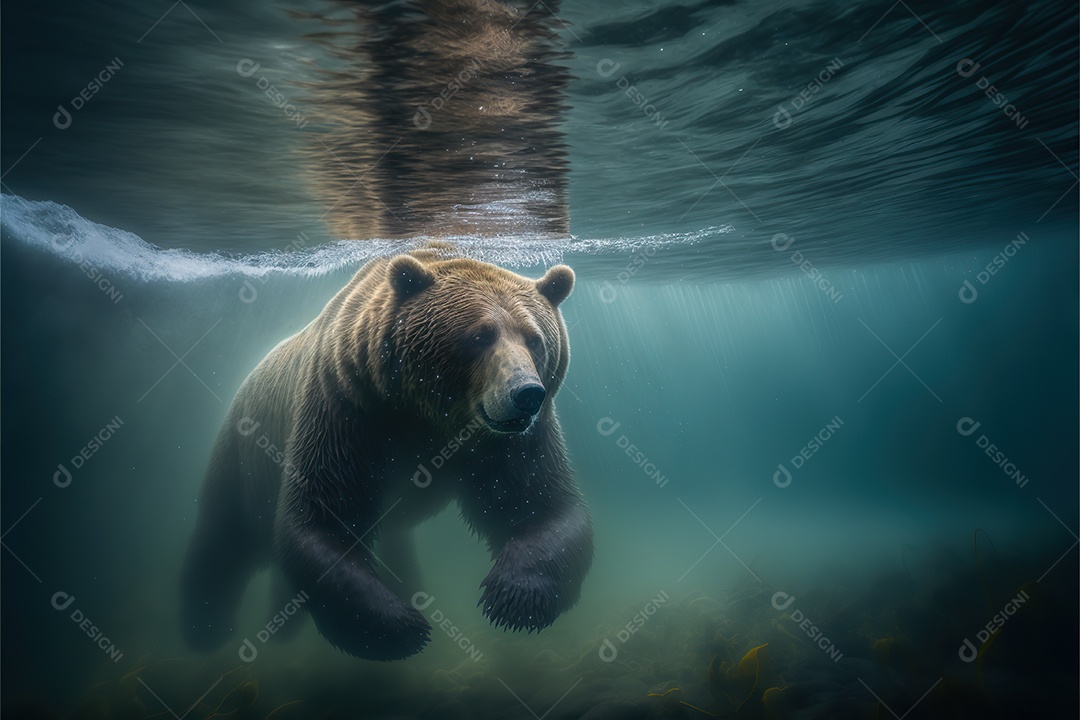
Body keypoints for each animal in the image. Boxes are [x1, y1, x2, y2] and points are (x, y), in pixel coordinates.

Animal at [180, 246, 593, 661]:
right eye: (480, 335)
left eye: (535, 339)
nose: (526, 394)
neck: (427, 417)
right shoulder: (348, 408)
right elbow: (322, 518)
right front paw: (400, 628)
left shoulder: (508, 443)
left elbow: (543, 506)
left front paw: (513, 598)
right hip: (244, 453)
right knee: (222, 535)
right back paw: (205, 628)